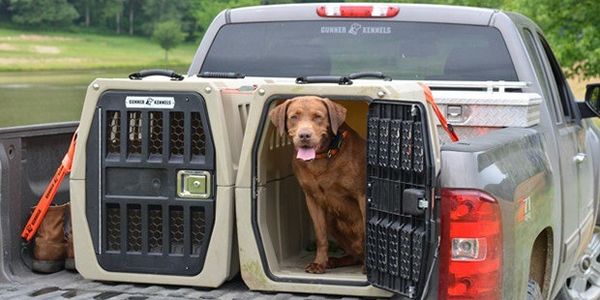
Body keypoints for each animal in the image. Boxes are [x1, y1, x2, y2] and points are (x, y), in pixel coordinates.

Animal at [270, 96, 366, 274]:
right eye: (294, 117)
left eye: (318, 116)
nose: (304, 135)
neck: (322, 157)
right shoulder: (312, 199)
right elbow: (321, 236)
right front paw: (319, 263)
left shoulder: (362, 195)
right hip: (333, 222)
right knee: (355, 255)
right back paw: (333, 261)